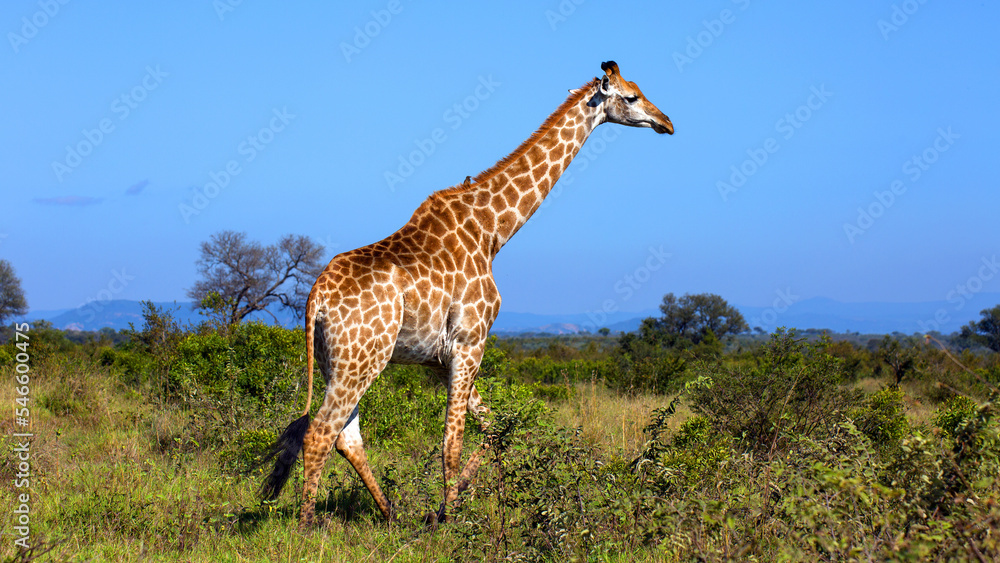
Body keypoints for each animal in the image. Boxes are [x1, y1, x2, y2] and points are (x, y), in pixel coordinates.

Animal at [262, 61, 673, 527]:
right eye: (632, 97)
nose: (667, 122)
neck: (493, 232)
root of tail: (315, 297)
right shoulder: (470, 342)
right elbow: (453, 442)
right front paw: (453, 518)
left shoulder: (442, 357)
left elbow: (494, 427)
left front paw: (458, 504)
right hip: (361, 359)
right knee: (320, 434)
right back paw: (308, 527)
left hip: (338, 361)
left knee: (347, 438)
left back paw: (391, 514)